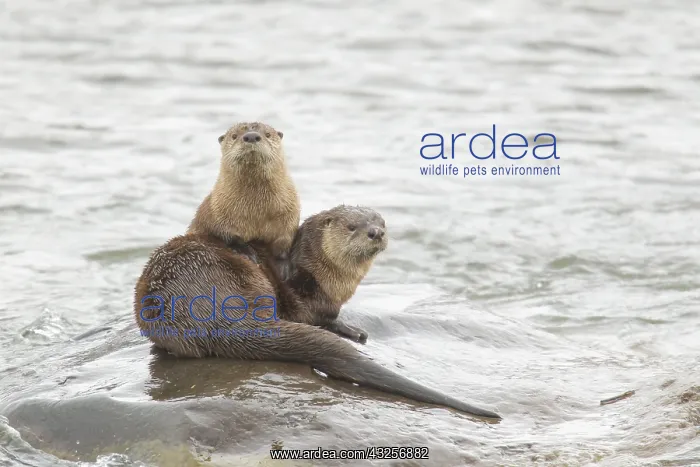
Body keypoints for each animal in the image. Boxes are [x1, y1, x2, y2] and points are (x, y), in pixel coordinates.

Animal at [135, 205, 501, 420]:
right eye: (353, 226)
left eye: (381, 222)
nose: (376, 232)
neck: (326, 275)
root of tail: (205, 306)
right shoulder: (310, 297)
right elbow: (321, 318)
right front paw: (352, 330)